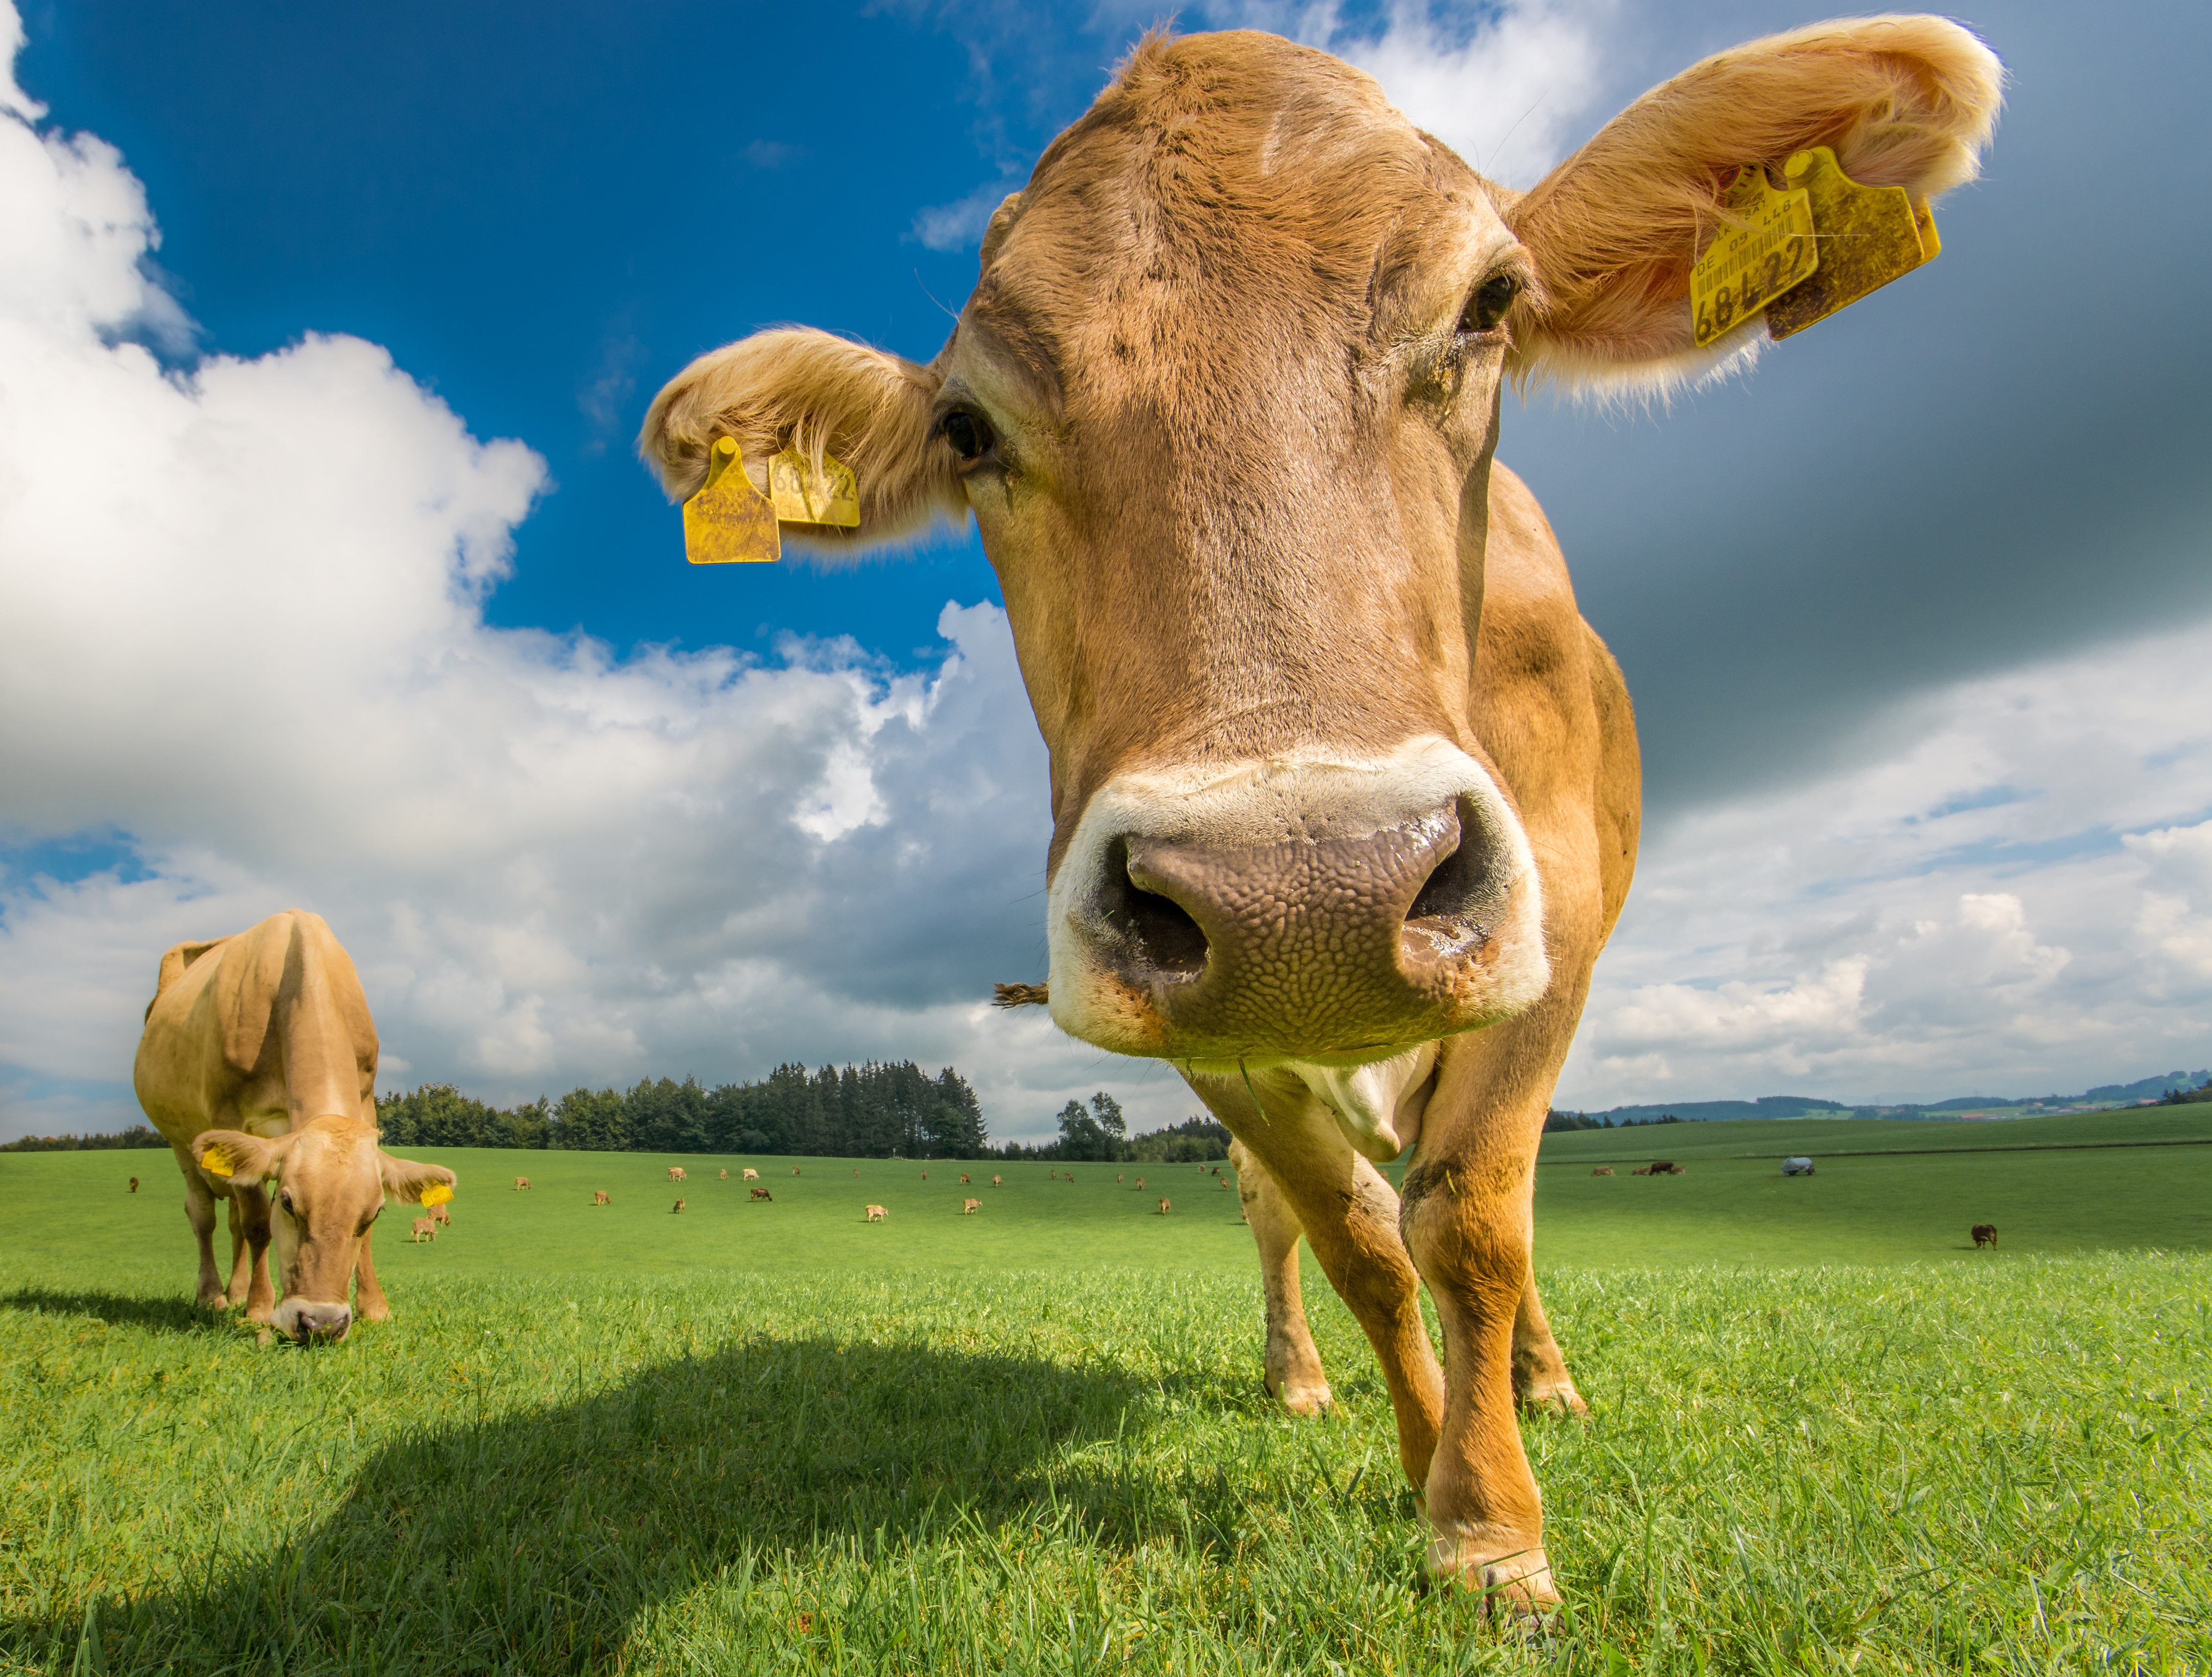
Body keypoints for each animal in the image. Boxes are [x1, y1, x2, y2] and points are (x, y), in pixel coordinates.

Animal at [130, 911, 458, 1345]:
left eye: (373, 1214)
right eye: (287, 1204)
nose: (321, 1323)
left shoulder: (365, 1104)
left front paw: (375, 1308)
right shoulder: (231, 1119)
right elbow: (257, 1224)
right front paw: (258, 1310)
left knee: (231, 1222)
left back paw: (236, 1291)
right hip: (182, 1143)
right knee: (204, 1216)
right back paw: (214, 1295)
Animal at [641, 16, 2008, 1619]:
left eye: (1489, 308)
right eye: (968, 428)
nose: (1306, 892)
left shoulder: (1555, 920)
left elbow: (1470, 1217)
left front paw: (1493, 1525)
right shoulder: (1204, 1028)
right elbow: (1359, 1240)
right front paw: (1430, 1472)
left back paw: (1544, 1383)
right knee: (1285, 1215)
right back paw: (1308, 1378)